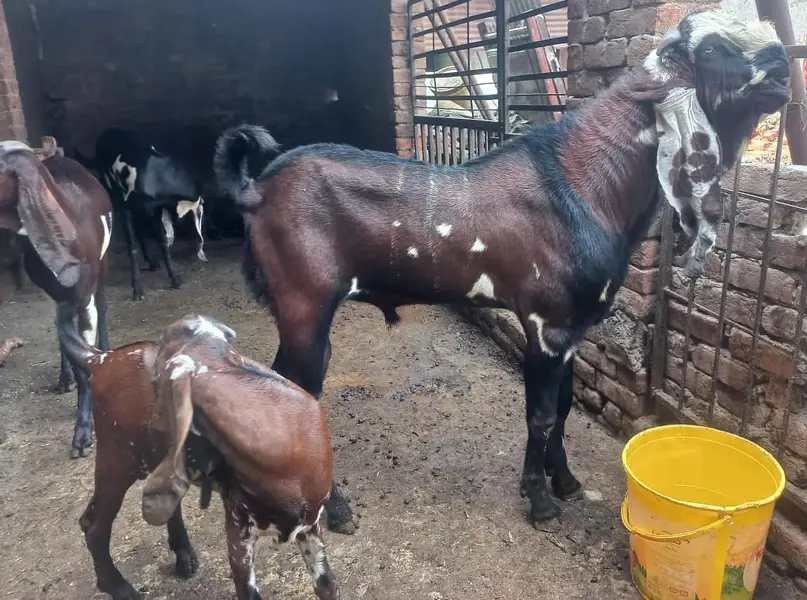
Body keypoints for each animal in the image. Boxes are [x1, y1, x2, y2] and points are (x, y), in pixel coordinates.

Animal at [0, 141, 113, 457]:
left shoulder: (85, 295)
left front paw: (84, 433)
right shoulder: (59, 297)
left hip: (103, 266)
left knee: (102, 304)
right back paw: (66, 378)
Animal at [59, 314, 340, 600]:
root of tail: (101, 359)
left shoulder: (310, 527)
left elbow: (327, 585)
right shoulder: (238, 533)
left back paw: (183, 556)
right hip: (118, 458)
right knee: (92, 524)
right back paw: (120, 588)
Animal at [75, 127, 207, 300]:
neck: (158, 175)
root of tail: (107, 131)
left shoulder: (154, 210)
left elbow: (162, 242)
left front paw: (175, 279)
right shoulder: (127, 207)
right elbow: (132, 247)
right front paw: (137, 289)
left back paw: (151, 262)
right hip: (112, 193)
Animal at [213, 10, 791, 531]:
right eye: (712, 48)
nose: (783, 66)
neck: (585, 186)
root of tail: (257, 188)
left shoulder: (572, 329)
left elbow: (564, 405)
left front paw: (567, 481)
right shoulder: (546, 323)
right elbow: (540, 413)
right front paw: (540, 502)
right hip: (304, 304)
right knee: (301, 389)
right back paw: (334, 510)